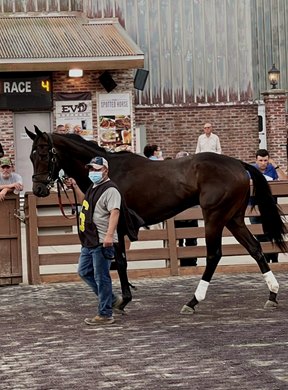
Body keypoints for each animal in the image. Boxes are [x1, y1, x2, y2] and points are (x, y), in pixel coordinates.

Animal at [25, 127, 286, 314]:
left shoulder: (118, 225)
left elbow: (121, 262)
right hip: (233, 218)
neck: (110, 171)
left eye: (44, 154)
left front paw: (123, 301)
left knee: (214, 255)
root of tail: (239, 164)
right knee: (255, 248)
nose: (38, 189)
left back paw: (193, 301)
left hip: (215, 217)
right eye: (31, 155)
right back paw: (272, 294)